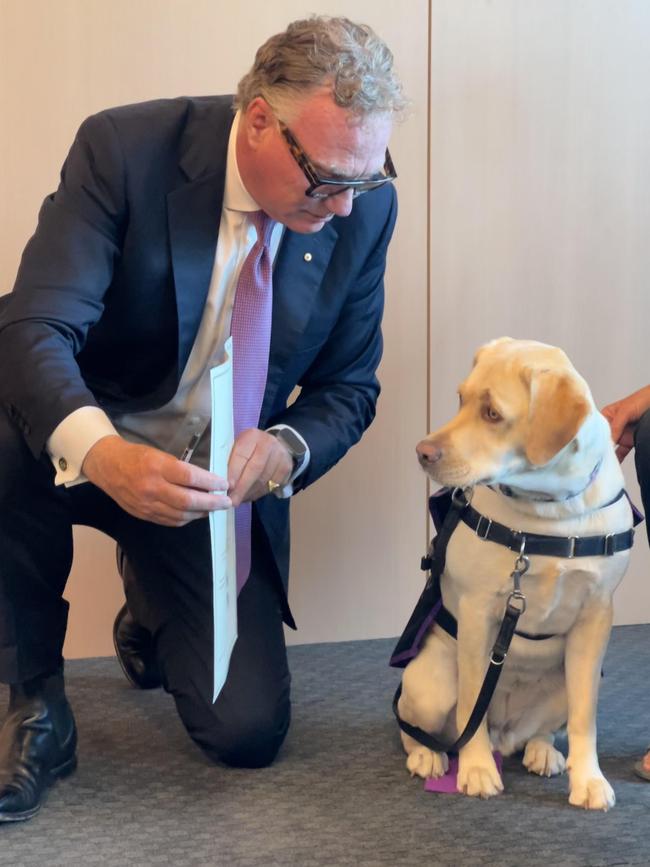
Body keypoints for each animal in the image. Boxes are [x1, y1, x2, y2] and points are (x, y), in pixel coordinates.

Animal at [394, 336, 632, 812]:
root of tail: (506, 736)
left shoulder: (596, 616)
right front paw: (476, 770)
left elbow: (585, 717)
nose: (422, 452)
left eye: (492, 413)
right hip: (430, 683)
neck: (551, 512)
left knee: (542, 730)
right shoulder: (479, 612)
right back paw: (430, 756)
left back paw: (543, 751)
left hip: (562, 682)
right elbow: (473, 702)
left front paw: (589, 780)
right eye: (460, 398)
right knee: (421, 728)